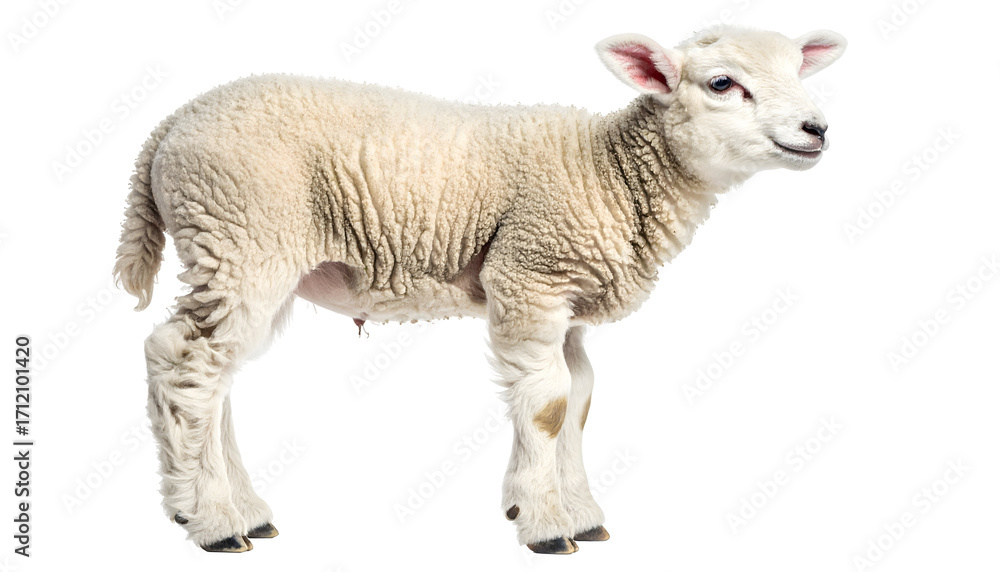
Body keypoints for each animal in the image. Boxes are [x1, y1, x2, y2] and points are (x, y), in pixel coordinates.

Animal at [114, 25, 846, 554]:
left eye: (798, 71)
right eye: (723, 83)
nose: (818, 130)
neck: (612, 169)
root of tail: (169, 125)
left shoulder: (565, 302)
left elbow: (579, 399)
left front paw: (580, 515)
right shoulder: (528, 275)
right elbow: (547, 405)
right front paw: (545, 525)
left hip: (249, 254)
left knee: (215, 376)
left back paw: (244, 512)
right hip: (238, 235)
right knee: (180, 363)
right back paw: (205, 519)